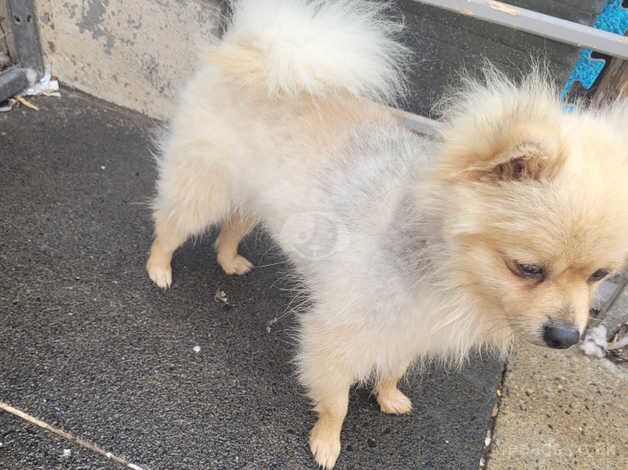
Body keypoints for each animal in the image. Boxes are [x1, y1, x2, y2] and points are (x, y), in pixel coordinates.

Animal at [147, 0, 628, 466]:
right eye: (526, 268)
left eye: (599, 276)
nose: (565, 338)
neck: (444, 268)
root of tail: (256, 50)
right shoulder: (337, 332)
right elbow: (337, 401)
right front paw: (327, 442)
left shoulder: (412, 330)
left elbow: (395, 368)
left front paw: (389, 395)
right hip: (204, 187)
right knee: (170, 225)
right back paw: (159, 268)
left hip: (255, 195)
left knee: (232, 225)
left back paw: (229, 259)